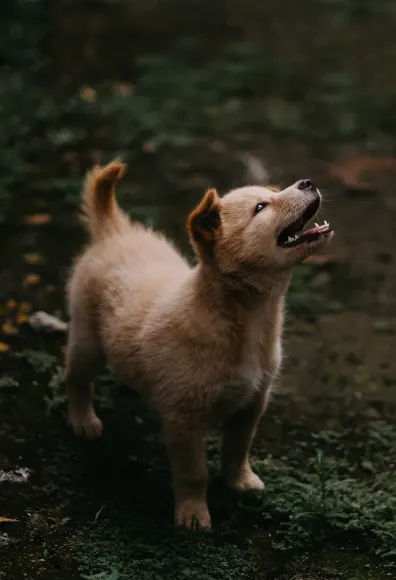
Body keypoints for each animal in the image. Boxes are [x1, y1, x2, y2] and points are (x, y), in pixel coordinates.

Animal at [66, 160, 332, 532]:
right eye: (260, 208)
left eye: (272, 194)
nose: (307, 182)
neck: (245, 321)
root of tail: (114, 232)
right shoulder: (184, 419)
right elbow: (194, 473)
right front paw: (193, 515)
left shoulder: (253, 402)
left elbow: (238, 448)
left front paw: (241, 482)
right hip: (88, 340)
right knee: (76, 377)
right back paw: (83, 420)